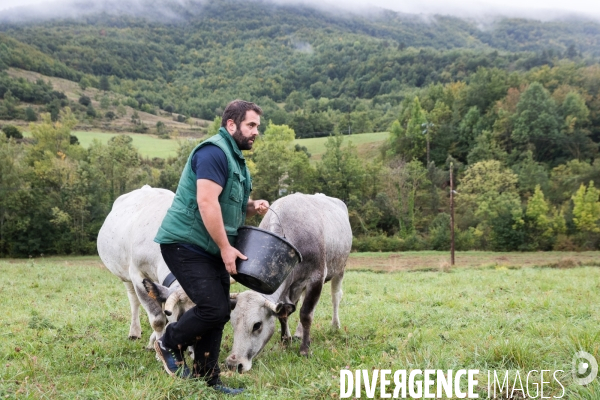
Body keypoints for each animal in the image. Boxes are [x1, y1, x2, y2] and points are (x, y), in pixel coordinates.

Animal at [96, 184, 192, 346]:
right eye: (181, 318)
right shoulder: (137, 274)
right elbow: (158, 319)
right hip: (126, 275)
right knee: (133, 300)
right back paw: (134, 332)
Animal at [225, 192, 352, 374]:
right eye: (232, 322)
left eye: (257, 325)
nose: (233, 364)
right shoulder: (291, 288)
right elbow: (284, 315)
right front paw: (286, 340)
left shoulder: (317, 277)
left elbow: (306, 314)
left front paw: (305, 350)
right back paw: (299, 333)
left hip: (340, 269)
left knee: (336, 297)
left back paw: (335, 325)